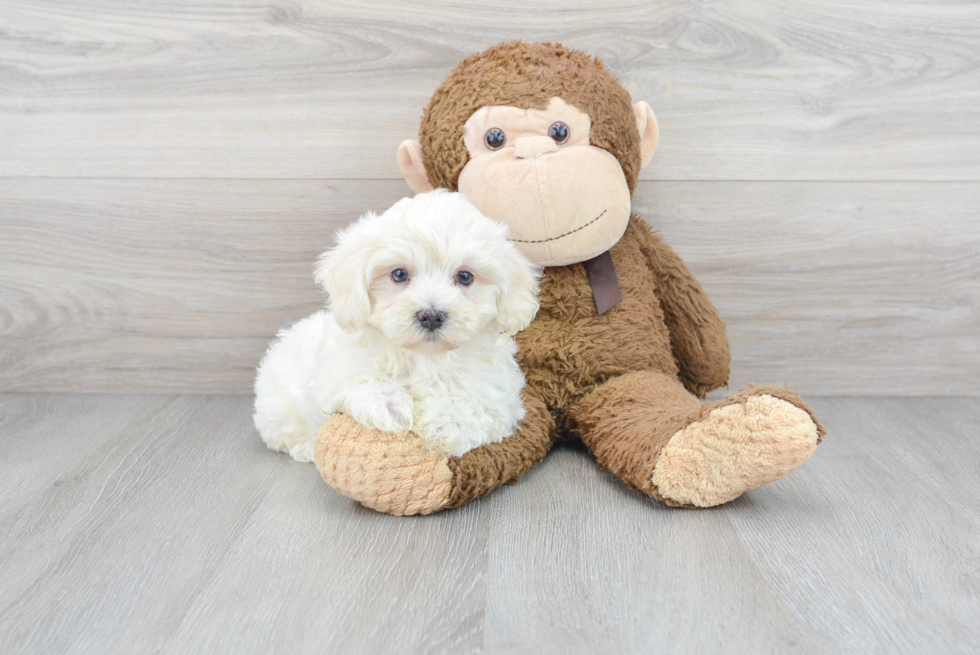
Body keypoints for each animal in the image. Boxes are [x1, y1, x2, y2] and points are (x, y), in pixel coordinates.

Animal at [253, 191, 540, 462]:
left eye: (465, 276)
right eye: (399, 274)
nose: (431, 316)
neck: (424, 357)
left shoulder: (501, 396)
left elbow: (478, 403)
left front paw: (447, 420)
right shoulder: (332, 372)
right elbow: (357, 375)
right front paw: (388, 404)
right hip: (277, 407)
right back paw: (305, 449)